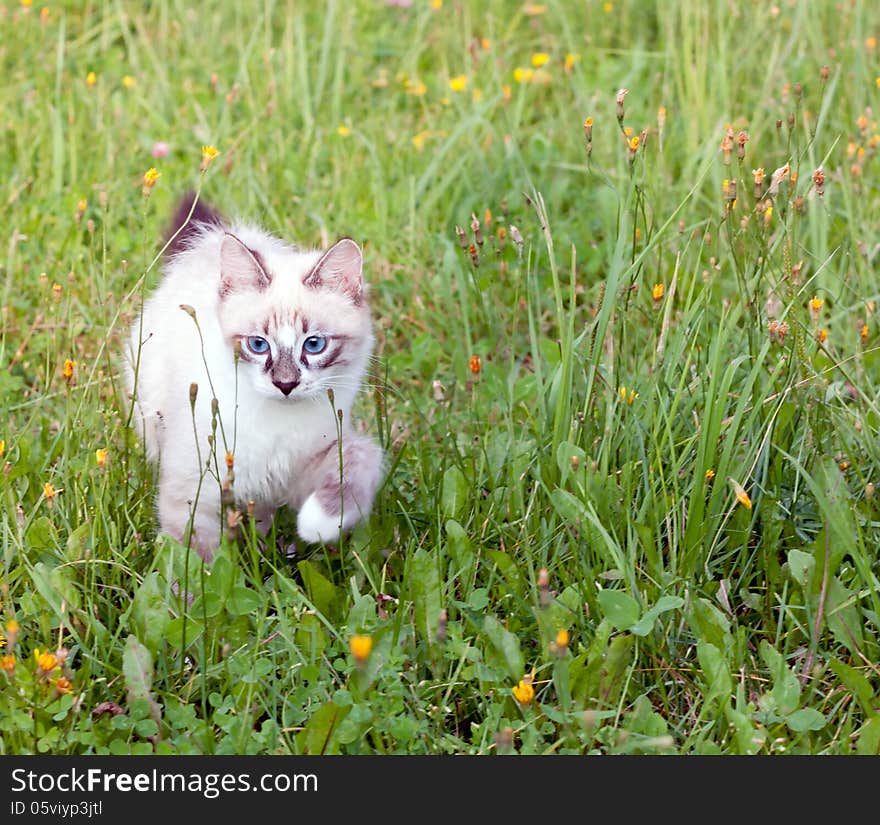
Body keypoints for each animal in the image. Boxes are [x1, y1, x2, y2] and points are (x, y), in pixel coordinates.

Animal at [123, 194, 382, 564]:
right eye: (258, 345)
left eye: (314, 345)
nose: (285, 385)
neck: (275, 426)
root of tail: (217, 237)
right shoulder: (194, 489)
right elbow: (194, 560)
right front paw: (205, 580)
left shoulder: (306, 467)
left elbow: (360, 457)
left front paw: (318, 525)